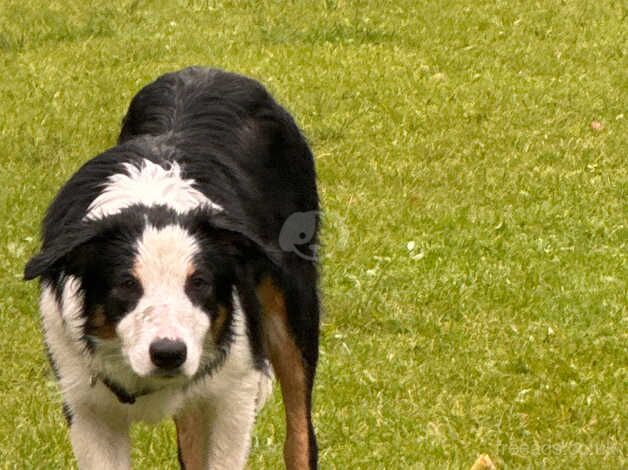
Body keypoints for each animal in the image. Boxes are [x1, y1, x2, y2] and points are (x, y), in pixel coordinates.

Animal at [23, 67, 318, 470]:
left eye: (200, 283)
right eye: (125, 285)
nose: (168, 353)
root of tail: (209, 70)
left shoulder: (234, 391)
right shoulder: (86, 405)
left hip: (294, 309)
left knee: (300, 435)